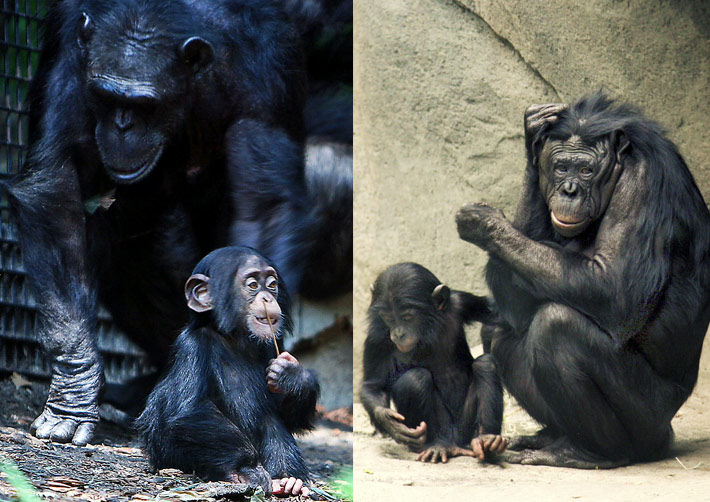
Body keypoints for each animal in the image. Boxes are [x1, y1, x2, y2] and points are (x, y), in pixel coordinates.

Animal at [5, 0, 350, 446]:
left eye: (146, 106)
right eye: (103, 97)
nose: (122, 126)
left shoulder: (269, 64)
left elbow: (263, 206)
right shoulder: (68, 41)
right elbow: (53, 181)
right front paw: (74, 391)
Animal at [137, 245, 320, 496]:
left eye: (272, 283)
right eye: (252, 285)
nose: (267, 297)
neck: (234, 339)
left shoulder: (271, 347)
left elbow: (290, 417)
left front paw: (292, 375)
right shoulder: (192, 347)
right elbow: (190, 409)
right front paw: (247, 470)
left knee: (272, 421)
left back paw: (289, 480)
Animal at [362, 262, 506, 462]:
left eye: (407, 317)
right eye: (389, 318)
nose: (398, 333)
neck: (427, 330)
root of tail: (455, 443)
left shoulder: (461, 302)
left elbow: (496, 312)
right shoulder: (377, 337)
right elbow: (372, 385)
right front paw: (391, 424)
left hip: (466, 427)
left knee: (486, 365)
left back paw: (488, 440)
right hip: (444, 428)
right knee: (414, 379)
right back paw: (436, 446)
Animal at [456, 92, 710, 468]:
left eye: (587, 170)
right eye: (561, 167)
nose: (570, 190)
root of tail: (667, 434)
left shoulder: (640, 184)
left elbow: (615, 289)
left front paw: (486, 223)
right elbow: (515, 294)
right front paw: (533, 136)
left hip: (649, 417)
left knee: (557, 326)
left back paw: (586, 452)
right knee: (499, 330)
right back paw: (549, 437)